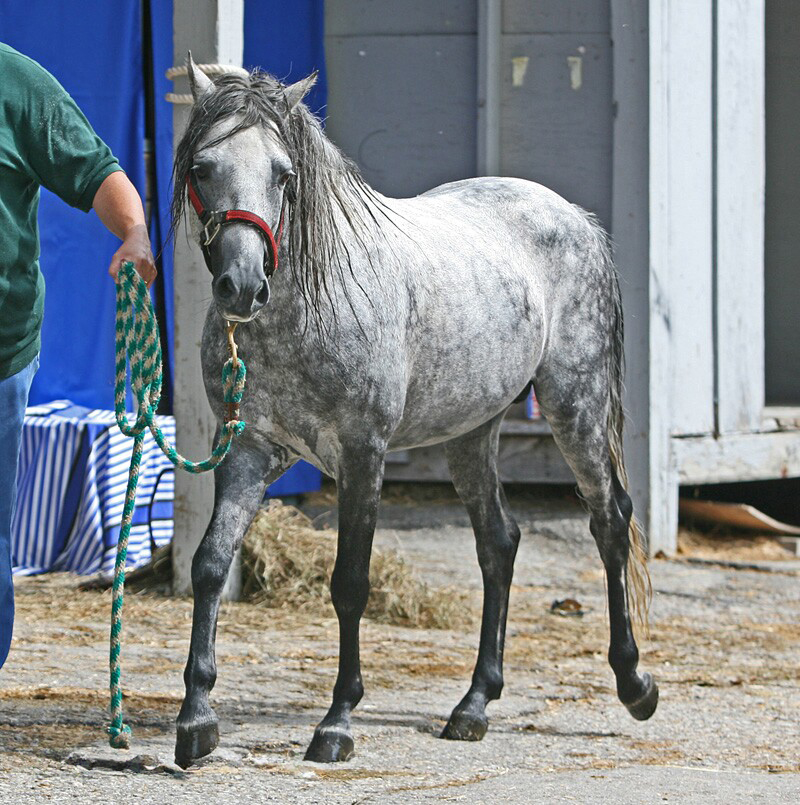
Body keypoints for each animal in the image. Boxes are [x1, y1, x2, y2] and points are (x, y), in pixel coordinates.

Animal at [170, 53, 656, 768]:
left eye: (284, 174)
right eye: (203, 168)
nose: (243, 285)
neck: (306, 308)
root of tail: (576, 217)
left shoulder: (361, 456)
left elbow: (349, 584)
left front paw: (337, 723)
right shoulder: (250, 452)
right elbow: (209, 566)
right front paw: (196, 719)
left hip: (577, 406)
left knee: (609, 520)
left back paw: (634, 684)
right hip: (472, 433)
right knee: (499, 543)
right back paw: (473, 705)